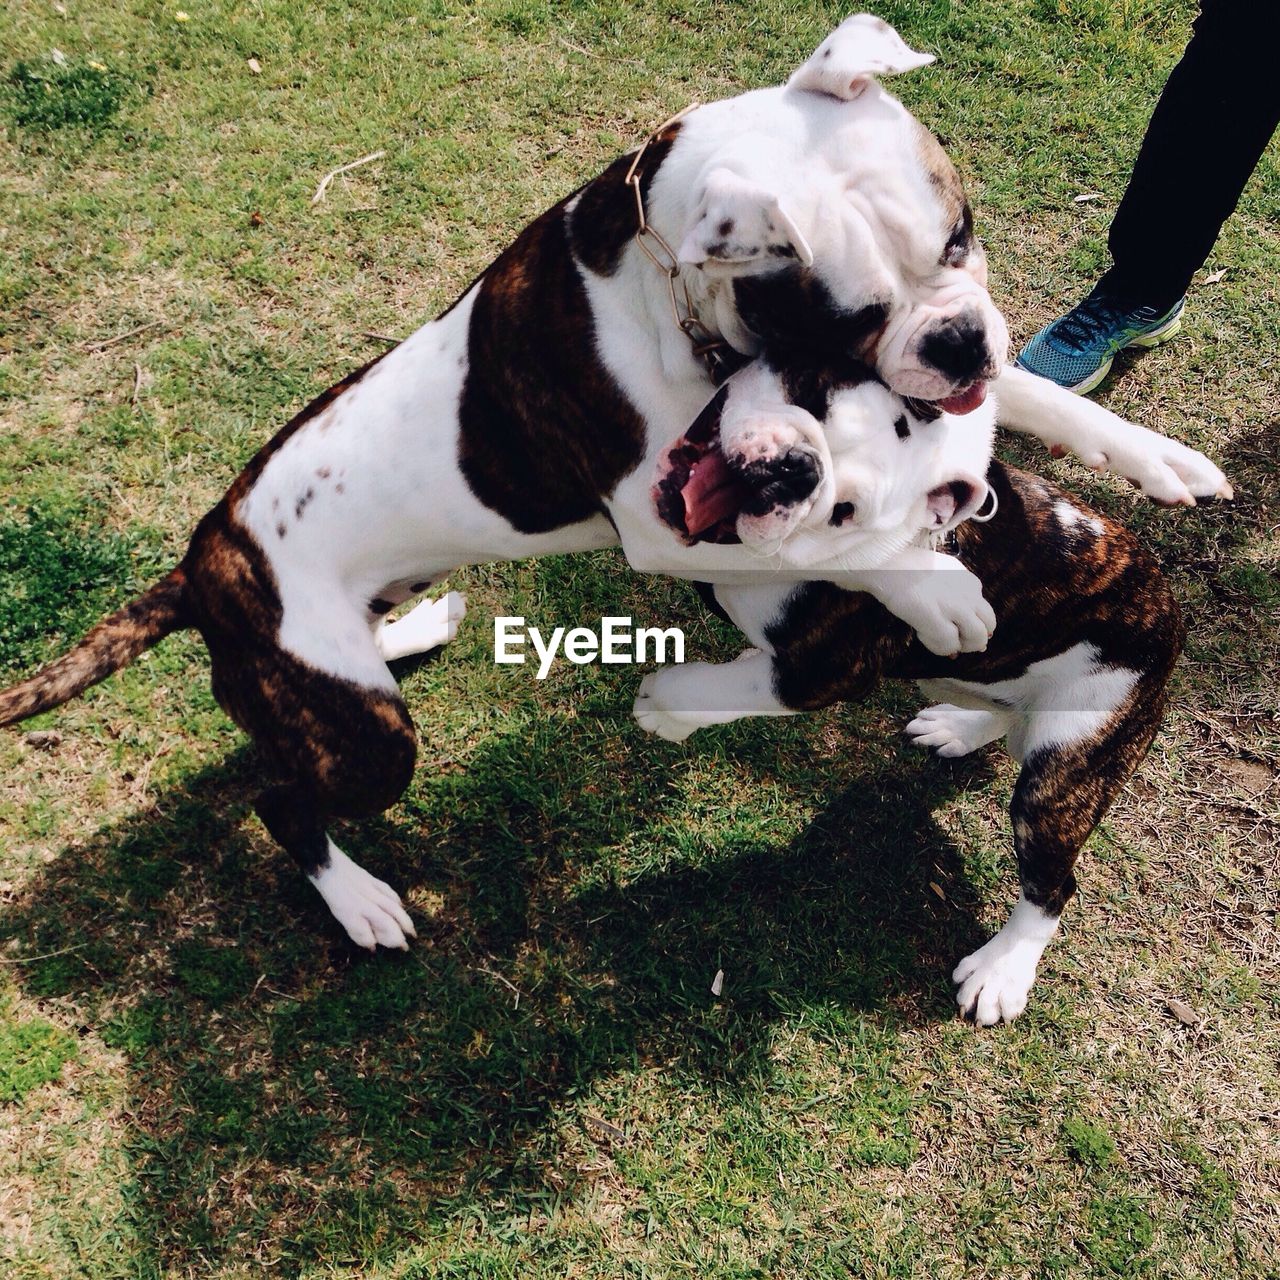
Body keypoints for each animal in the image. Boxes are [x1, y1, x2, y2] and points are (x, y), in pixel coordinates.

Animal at [0, 12, 1228, 952]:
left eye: (962, 235)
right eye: (851, 320)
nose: (963, 340)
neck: (672, 286)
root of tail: (204, 555)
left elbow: (1040, 404)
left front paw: (1148, 456)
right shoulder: (661, 515)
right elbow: (850, 539)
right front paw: (940, 591)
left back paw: (409, 631)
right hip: (369, 747)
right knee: (281, 798)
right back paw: (357, 901)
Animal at [634, 355, 1182, 1024]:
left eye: (847, 510)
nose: (790, 468)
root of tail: (1169, 612)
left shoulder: (819, 670)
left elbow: (728, 687)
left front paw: (665, 707)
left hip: (1067, 765)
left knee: (1053, 883)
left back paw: (1002, 970)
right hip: (976, 668)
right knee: (998, 703)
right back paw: (957, 728)